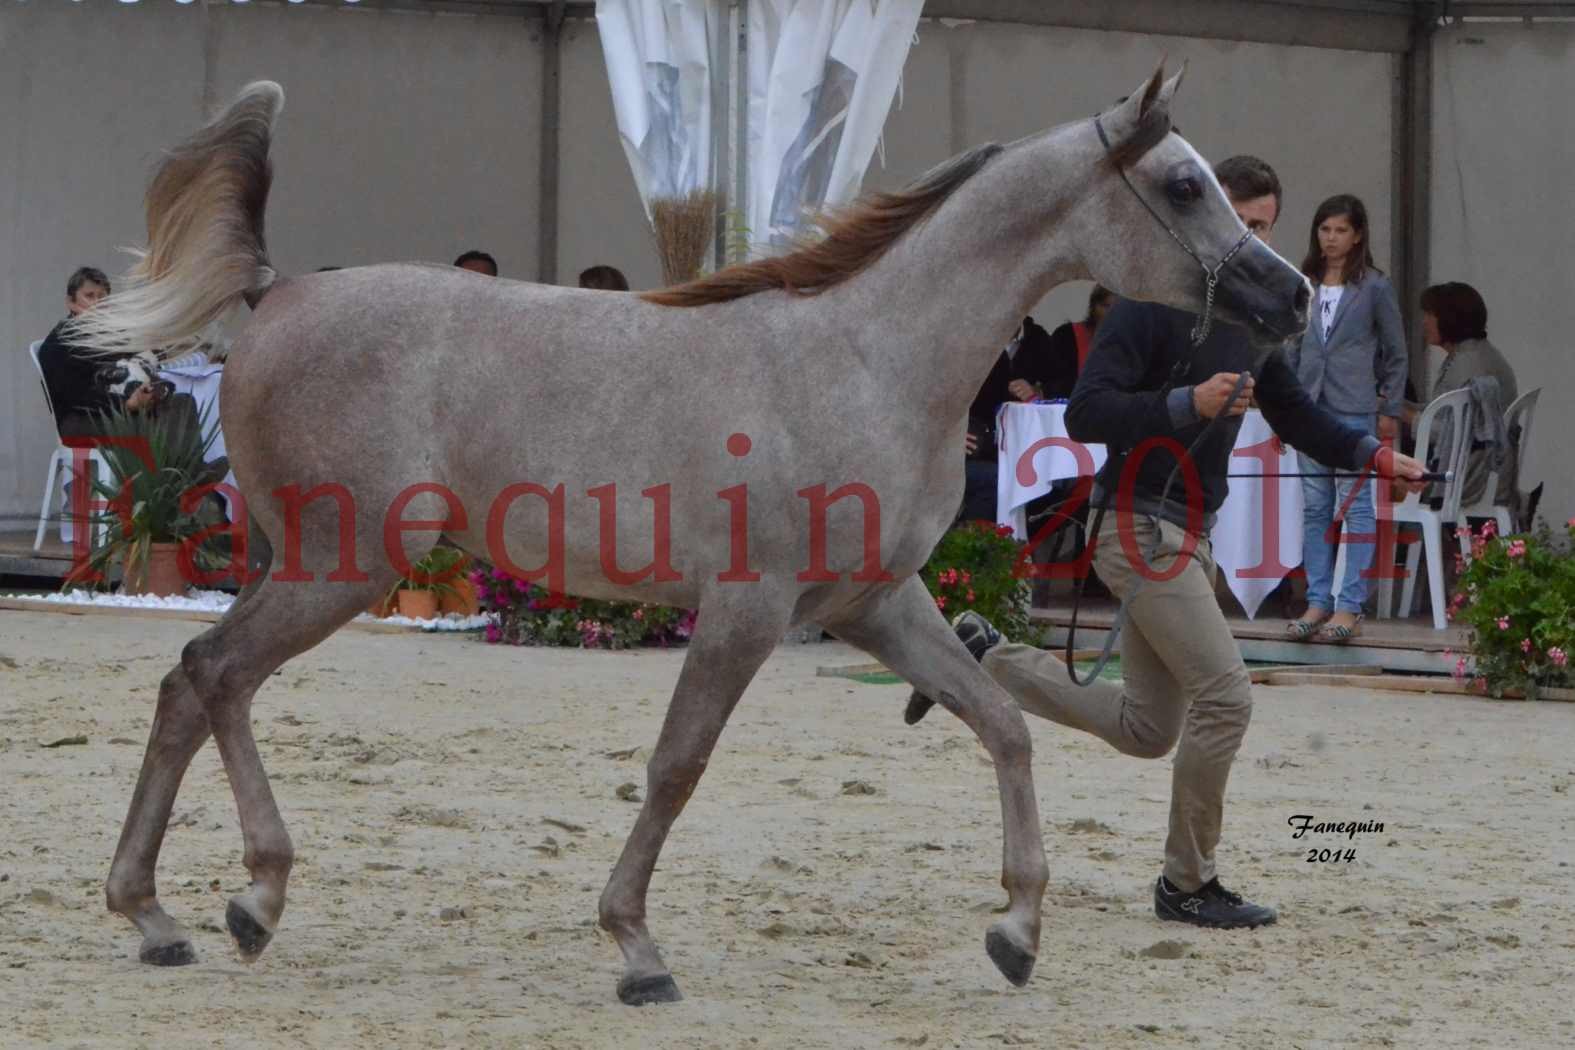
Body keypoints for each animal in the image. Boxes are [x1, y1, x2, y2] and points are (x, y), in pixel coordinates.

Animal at [70, 63, 1304, 1001]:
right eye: (1183, 184)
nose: (1289, 295)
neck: (866, 357)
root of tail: (277, 293)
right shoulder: (747, 610)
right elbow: (677, 765)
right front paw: (637, 948)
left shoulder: (877, 607)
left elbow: (1003, 724)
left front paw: (1017, 931)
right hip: (342, 567)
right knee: (213, 674)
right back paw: (243, 896)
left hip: (304, 565)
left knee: (193, 684)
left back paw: (165, 913)